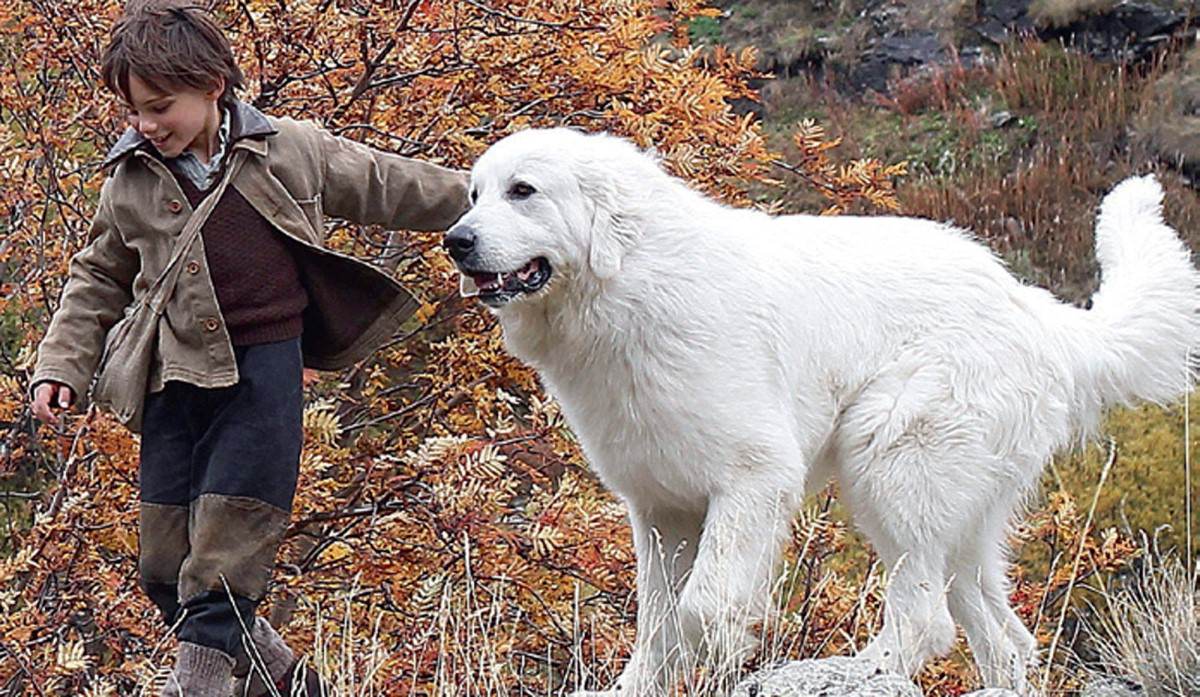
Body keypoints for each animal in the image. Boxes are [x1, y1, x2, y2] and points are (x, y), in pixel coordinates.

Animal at [444, 128, 1200, 691]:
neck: (628, 282)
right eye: (474, 194)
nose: (456, 239)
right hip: (962, 520)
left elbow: (702, 607)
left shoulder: (752, 479)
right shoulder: (660, 508)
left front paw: (728, 655)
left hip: (893, 464)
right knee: (1003, 636)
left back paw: (863, 670)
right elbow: (657, 624)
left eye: (523, 191)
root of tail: (1030, 304)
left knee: (926, 616)